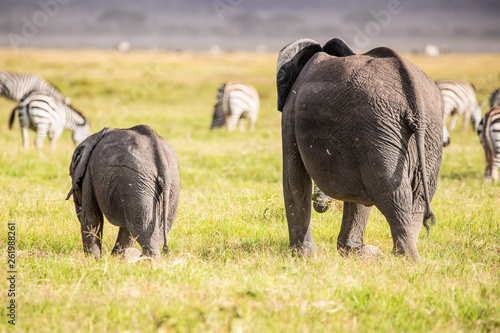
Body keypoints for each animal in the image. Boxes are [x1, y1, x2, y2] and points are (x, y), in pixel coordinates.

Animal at [66, 124, 180, 256]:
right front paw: (115, 258)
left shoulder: (88, 174)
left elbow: (91, 218)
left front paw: (93, 259)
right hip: (169, 184)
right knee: (157, 227)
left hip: (137, 182)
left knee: (142, 225)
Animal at [280, 37, 444, 258]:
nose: (321, 204)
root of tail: (414, 97)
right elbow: (359, 194)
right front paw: (352, 253)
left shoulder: (291, 109)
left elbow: (295, 180)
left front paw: (303, 257)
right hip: (427, 131)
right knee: (414, 196)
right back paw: (402, 256)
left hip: (379, 126)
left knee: (389, 192)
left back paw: (406, 258)